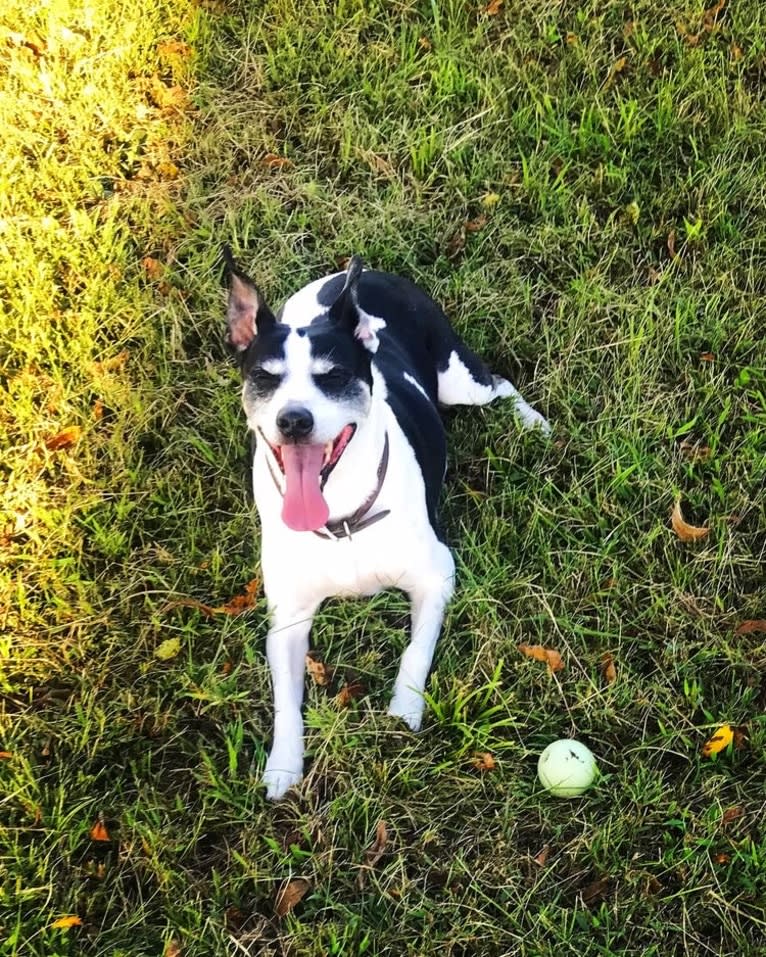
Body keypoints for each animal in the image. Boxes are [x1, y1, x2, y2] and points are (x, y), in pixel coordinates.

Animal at [224, 252, 552, 800]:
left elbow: (416, 652)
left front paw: (403, 712)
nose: (294, 420)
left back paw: (533, 423)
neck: (341, 517)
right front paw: (283, 766)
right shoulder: (288, 617)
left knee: (500, 386)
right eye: (265, 378)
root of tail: (354, 276)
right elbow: (285, 701)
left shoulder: (436, 576)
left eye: (334, 375)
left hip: (459, 380)